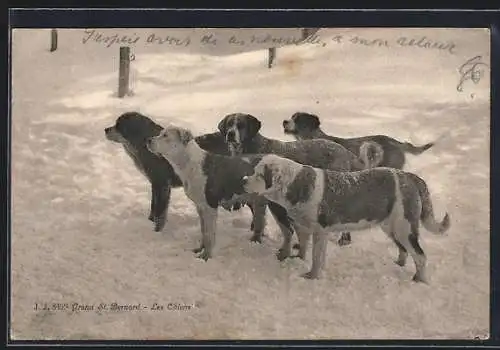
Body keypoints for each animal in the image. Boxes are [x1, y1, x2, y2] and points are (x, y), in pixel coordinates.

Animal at [217, 112, 380, 246]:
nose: (230, 134)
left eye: (241, 125)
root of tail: (346, 152)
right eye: (229, 124)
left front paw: (255, 240)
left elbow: (259, 221)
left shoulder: (260, 198)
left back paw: (344, 239)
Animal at [240, 154, 452, 284]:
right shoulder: (305, 227)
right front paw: (298, 260)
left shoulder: (320, 231)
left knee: (420, 255)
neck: (295, 184)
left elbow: (316, 257)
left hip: (404, 227)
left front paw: (312, 276)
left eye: (258, 174)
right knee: (404, 250)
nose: (243, 180)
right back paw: (398, 265)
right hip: (391, 226)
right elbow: (304, 246)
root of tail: (409, 176)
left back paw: (419, 280)